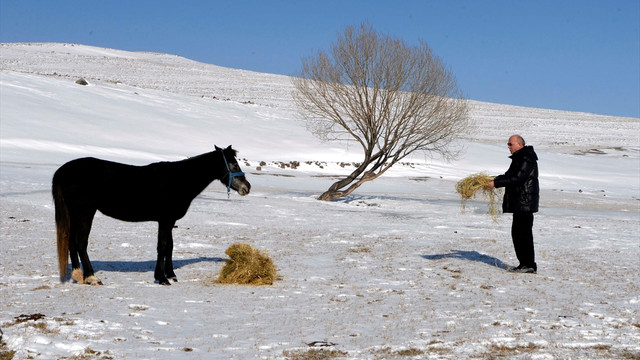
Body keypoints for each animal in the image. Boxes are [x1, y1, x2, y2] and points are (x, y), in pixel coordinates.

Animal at [52, 145, 250, 286]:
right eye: (233, 164)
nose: (246, 187)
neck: (179, 180)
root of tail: (63, 170)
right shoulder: (165, 220)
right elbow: (162, 247)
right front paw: (162, 278)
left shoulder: (169, 221)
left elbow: (169, 247)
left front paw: (171, 274)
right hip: (85, 213)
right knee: (80, 243)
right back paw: (92, 277)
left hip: (75, 215)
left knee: (71, 243)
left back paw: (78, 275)